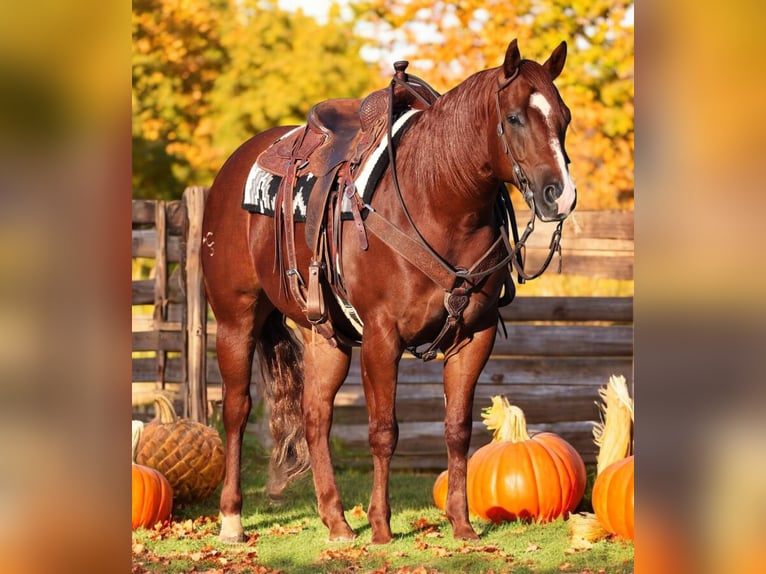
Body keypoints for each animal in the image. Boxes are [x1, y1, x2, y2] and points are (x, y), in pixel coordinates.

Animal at [201, 38, 580, 548]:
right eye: (516, 117)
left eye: (564, 117)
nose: (560, 195)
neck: (437, 199)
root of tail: (235, 165)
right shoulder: (383, 337)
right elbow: (384, 431)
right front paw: (381, 526)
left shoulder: (474, 337)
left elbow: (458, 429)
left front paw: (461, 524)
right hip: (235, 320)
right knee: (237, 410)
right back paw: (232, 519)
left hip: (327, 337)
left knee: (316, 416)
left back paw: (337, 522)